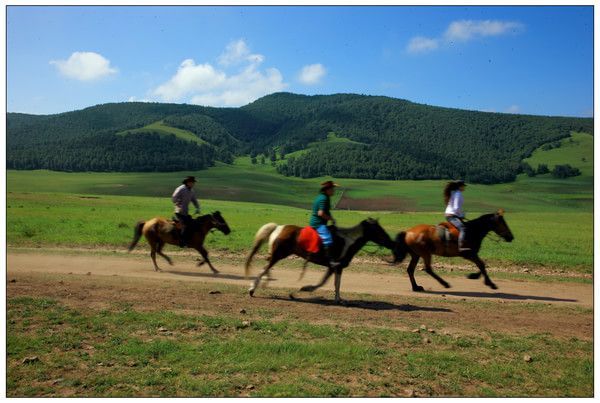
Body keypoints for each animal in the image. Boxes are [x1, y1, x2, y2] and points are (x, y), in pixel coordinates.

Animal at [246, 219, 396, 304]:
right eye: (378, 230)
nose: (391, 242)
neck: (347, 241)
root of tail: (278, 228)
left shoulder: (336, 267)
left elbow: (336, 283)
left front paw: (338, 299)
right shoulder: (334, 266)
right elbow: (324, 282)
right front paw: (302, 289)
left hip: (276, 256)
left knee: (266, 268)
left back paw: (263, 283)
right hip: (278, 255)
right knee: (264, 269)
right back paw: (252, 289)